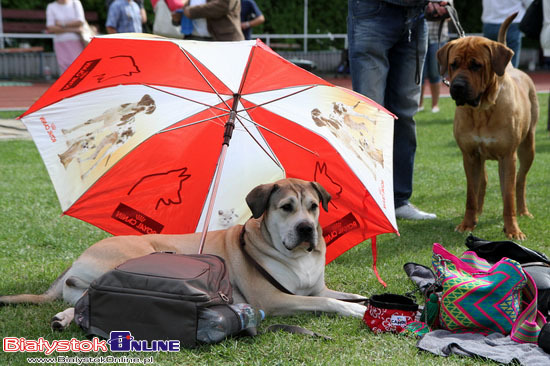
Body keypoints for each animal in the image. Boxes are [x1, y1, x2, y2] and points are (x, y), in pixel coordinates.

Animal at [1, 179, 370, 330]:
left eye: (313, 206)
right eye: (286, 208)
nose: (307, 229)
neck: (295, 258)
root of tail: (76, 260)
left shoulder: (316, 287)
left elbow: (350, 294)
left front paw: (363, 302)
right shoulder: (274, 299)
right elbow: (329, 302)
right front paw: (353, 310)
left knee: (80, 303)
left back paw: (63, 318)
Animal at [438, 12, 540, 239]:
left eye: (476, 65)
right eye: (453, 64)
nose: (457, 86)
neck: (482, 109)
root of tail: (511, 67)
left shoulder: (508, 157)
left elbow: (508, 197)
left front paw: (513, 230)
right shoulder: (469, 155)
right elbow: (470, 194)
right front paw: (467, 224)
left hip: (528, 148)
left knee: (520, 181)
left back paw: (523, 211)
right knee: (482, 182)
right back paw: (478, 212)